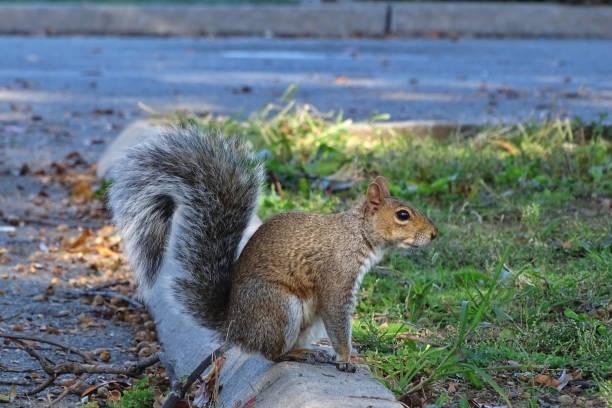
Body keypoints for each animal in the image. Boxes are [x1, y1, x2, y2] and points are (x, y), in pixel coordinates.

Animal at [107, 126, 438, 372]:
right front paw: (345, 357)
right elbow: (338, 319)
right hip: (278, 308)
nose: (434, 234)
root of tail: (235, 328)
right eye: (403, 215)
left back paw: (309, 350)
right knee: (272, 354)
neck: (357, 234)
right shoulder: (337, 277)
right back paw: (297, 355)